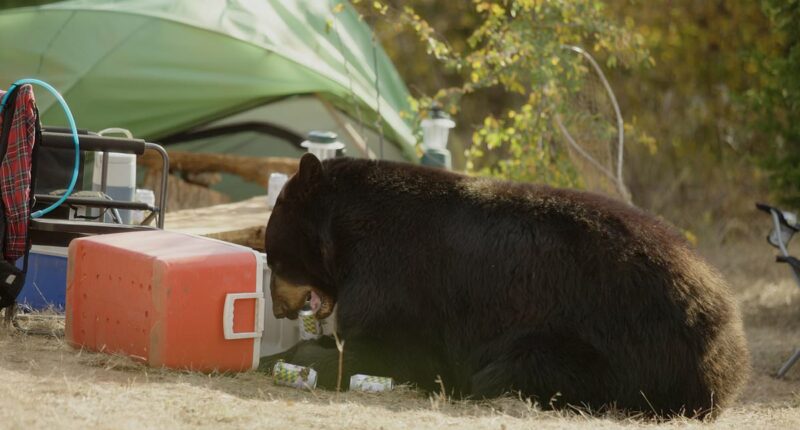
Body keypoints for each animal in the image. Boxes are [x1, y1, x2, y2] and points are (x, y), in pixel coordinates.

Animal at [261, 154, 750, 419]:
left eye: (273, 258)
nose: (279, 309)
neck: (346, 233)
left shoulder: (398, 280)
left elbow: (391, 348)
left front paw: (289, 357)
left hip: (613, 343)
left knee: (510, 369)